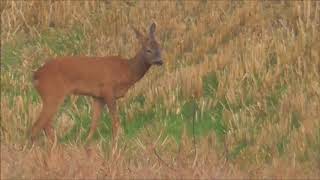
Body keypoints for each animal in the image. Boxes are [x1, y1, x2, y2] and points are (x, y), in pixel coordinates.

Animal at [30, 22, 162, 141]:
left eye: (160, 47)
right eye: (148, 50)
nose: (160, 61)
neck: (127, 70)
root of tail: (36, 75)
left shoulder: (98, 96)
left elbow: (95, 122)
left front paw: (87, 141)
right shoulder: (108, 89)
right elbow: (115, 119)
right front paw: (117, 140)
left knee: (45, 124)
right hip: (52, 93)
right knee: (38, 125)